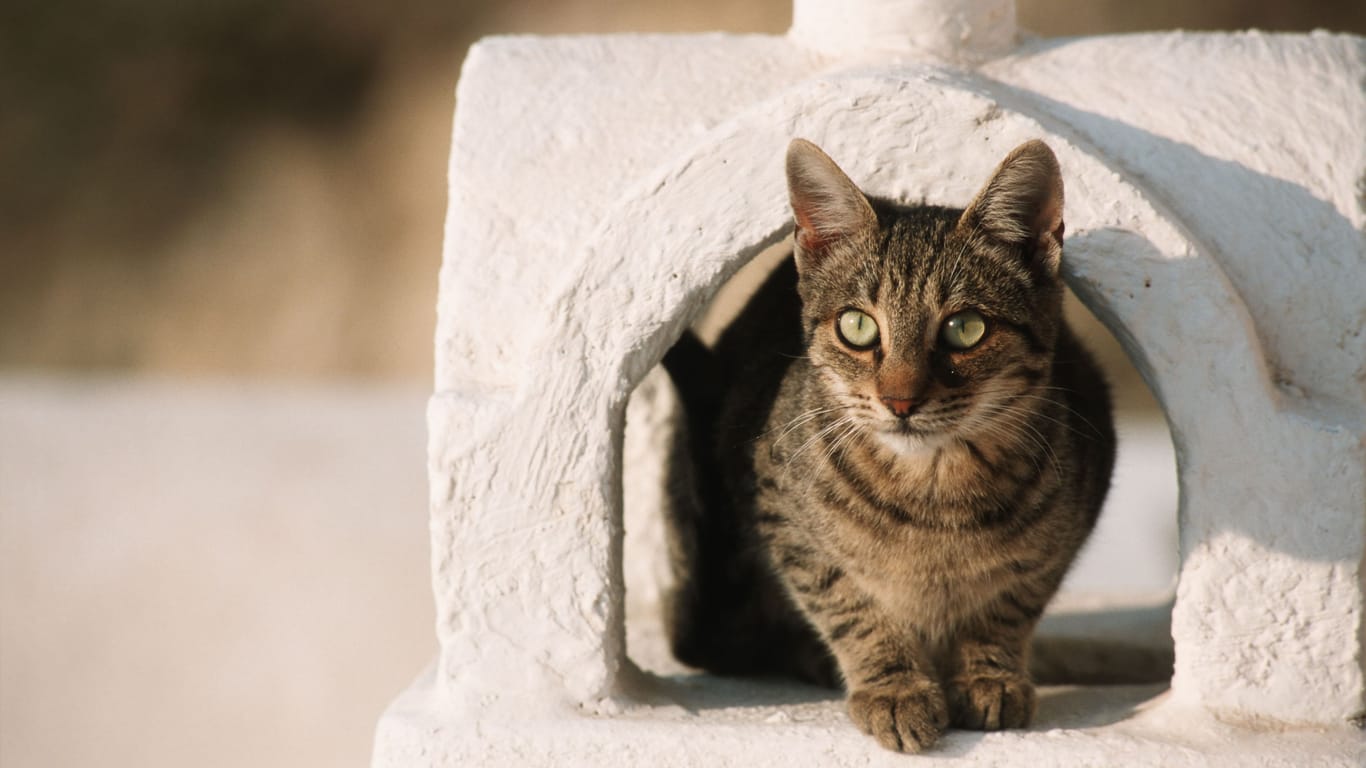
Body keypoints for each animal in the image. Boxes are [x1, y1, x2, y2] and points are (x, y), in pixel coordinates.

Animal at [663, 135, 1120, 748]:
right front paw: (895, 688)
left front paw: (988, 676)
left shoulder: (1064, 529)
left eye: (965, 329)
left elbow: (1009, 603)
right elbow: (850, 607)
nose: (900, 401)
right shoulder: (784, 521)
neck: (932, 492)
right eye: (857, 326)